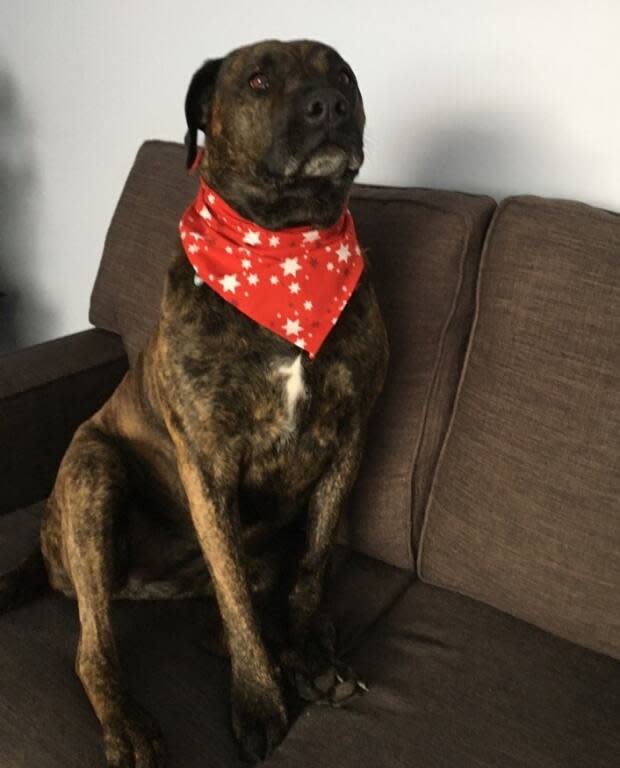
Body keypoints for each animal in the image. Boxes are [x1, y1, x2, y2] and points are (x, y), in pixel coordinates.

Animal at [0, 40, 388, 768]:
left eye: (345, 75)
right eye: (258, 79)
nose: (330, 104)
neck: (284, 244)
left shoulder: (348, 436)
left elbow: (313, 563)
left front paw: (306, 645)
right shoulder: (208, 464)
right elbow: (237, 603)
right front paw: (260, 702)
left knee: (219, 623)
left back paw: (301, 657)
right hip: (93, 474)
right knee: (97, 646)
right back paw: (128, 722)